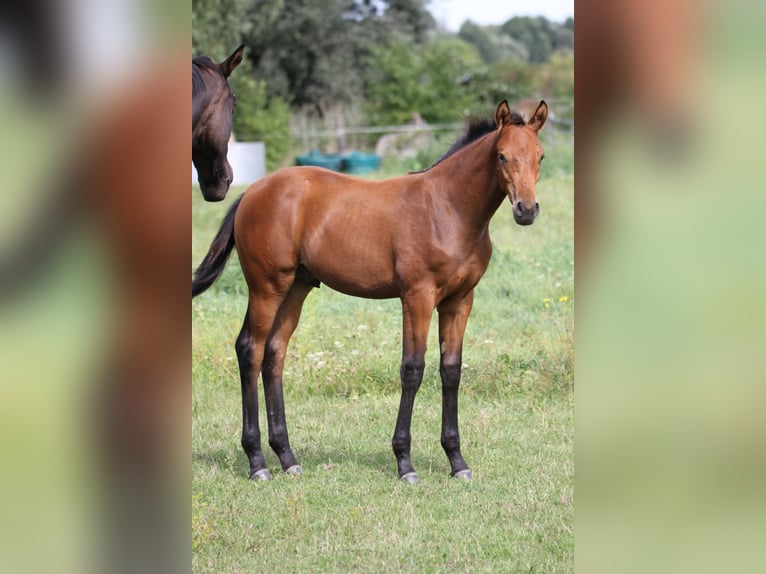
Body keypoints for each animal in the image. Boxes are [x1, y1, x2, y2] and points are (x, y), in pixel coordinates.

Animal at [192, 100, 548, 483]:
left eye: (540, 155)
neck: (447, 208)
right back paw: (257, 462)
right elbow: (413, 369)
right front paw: (405, 462)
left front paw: (457, 461)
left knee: (274, 353)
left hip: (296, 288)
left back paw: (287, 457)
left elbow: (451, 370)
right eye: (501, 155)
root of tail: (251, 192)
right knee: (250, 349)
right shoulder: (417, 296)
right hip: (267, 286)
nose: (527, 210)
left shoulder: (460, 300)